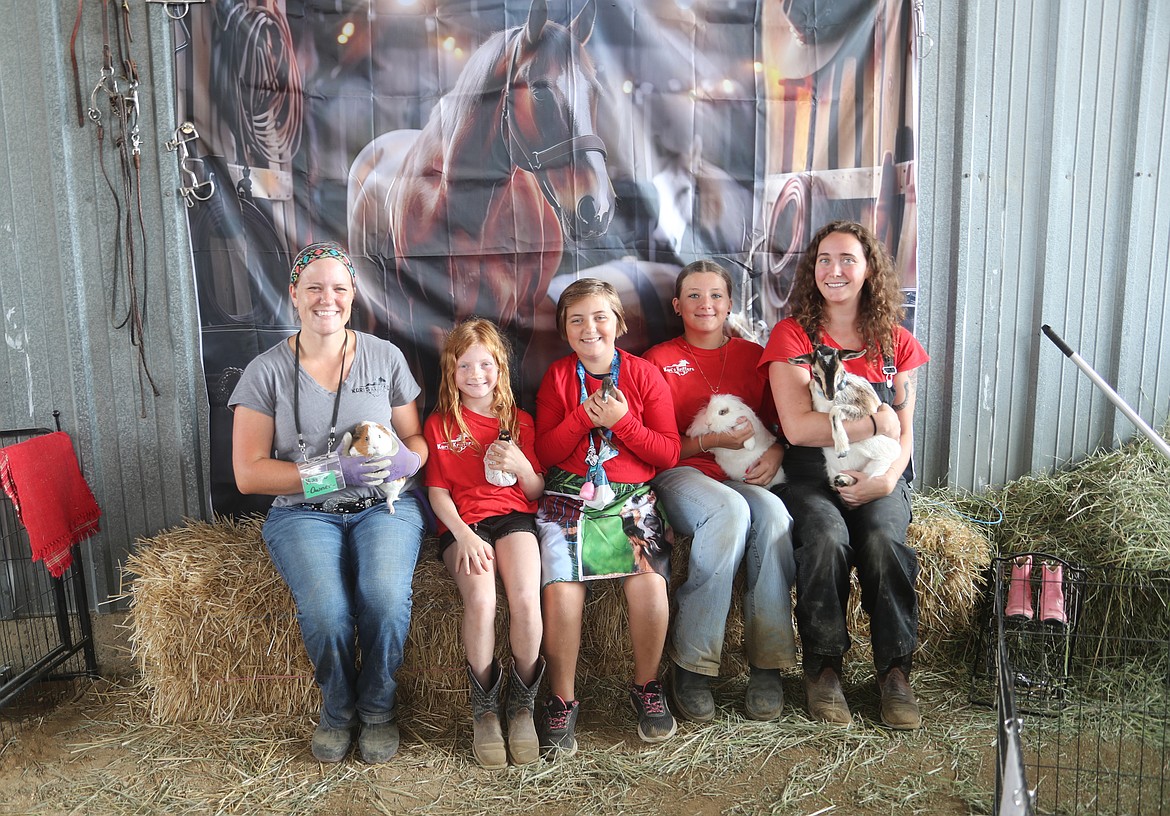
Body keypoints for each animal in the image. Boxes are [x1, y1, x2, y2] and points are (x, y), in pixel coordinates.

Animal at [786, 344, 903, 487]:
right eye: (815, 373)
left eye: (841, 370)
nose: (830, 395)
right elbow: (812, 386)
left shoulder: (864, 408)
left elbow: (834, 411)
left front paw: (842, 449)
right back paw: (841, 480)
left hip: (887, 455)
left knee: (865, 477)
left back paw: (845, 479)